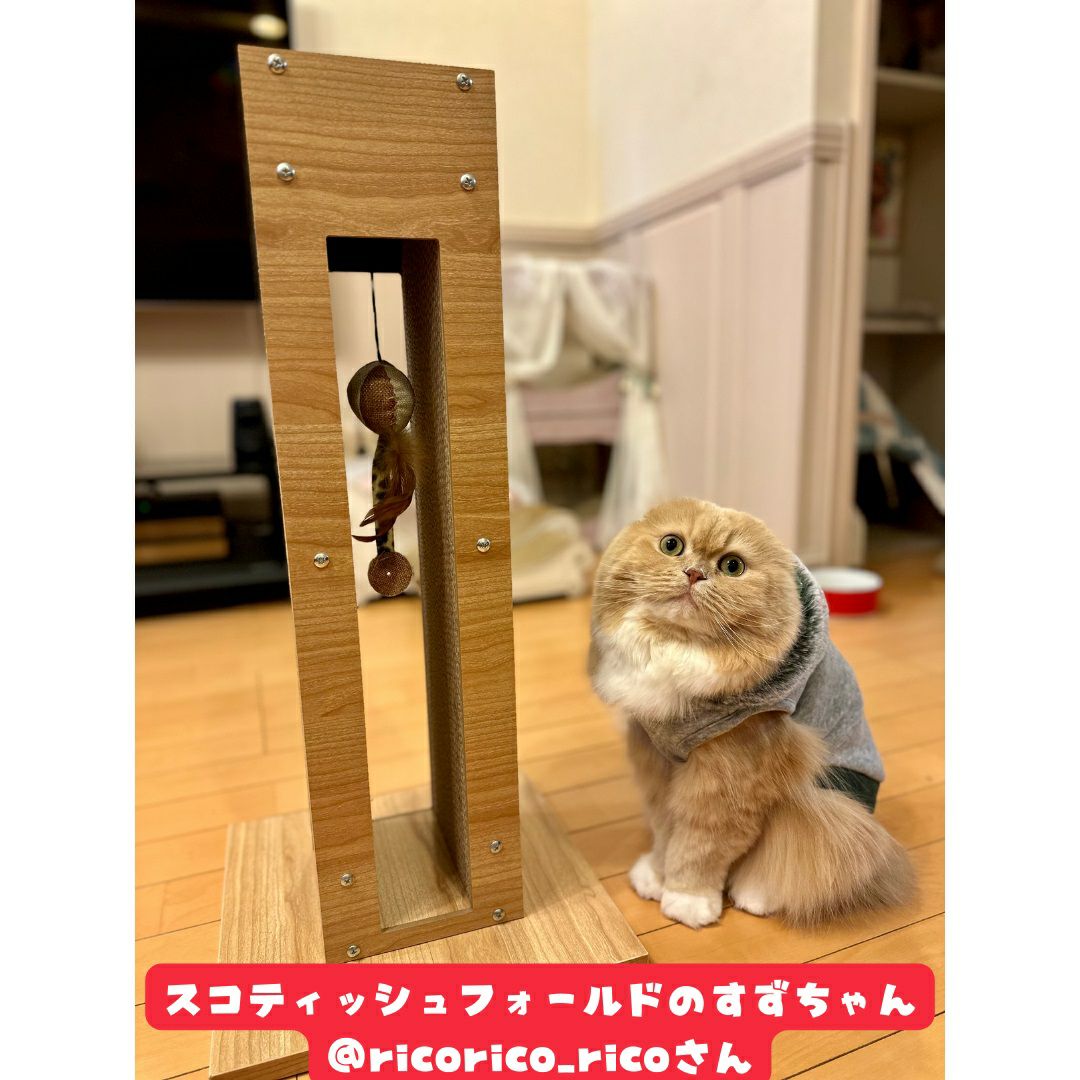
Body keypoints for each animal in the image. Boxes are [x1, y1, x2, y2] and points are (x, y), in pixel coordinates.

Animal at [588, 498, 915, 930]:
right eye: (671, 545)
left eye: (732, 567)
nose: (694, 573)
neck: (676, 648)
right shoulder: (658, 764)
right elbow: (665, 831)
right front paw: (656, 877)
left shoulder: (728, 782)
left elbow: (699, 847)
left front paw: (687, 900)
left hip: (823, 808)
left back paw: (754, 896)